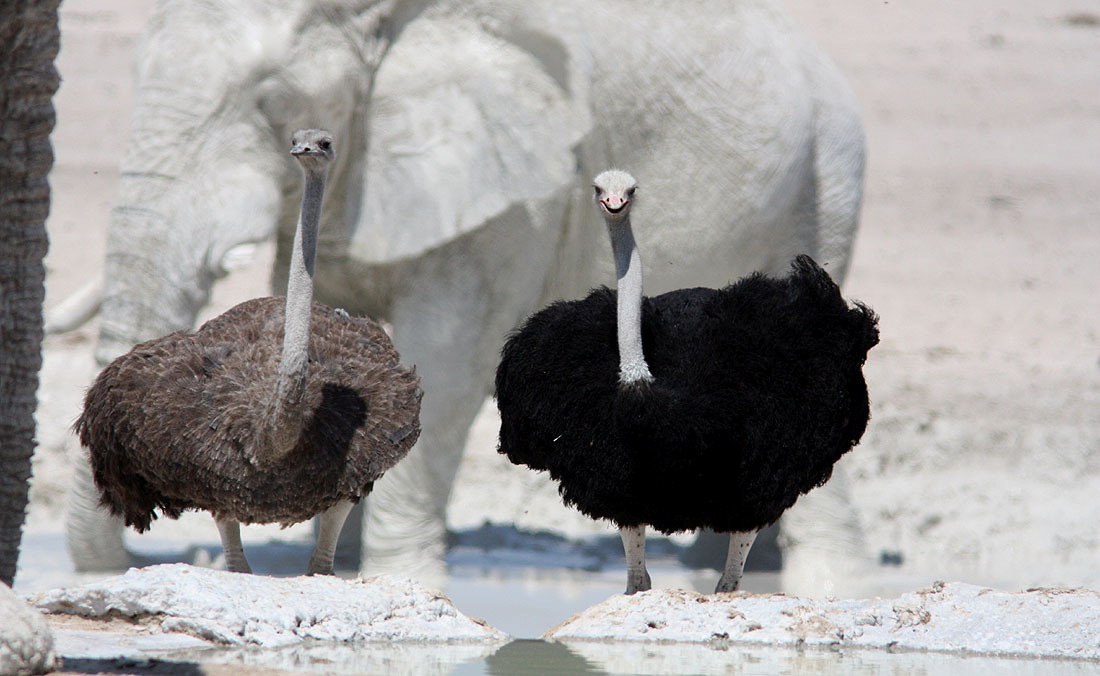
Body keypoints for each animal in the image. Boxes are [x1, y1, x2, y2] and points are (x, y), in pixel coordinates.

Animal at [62, 0, 866, 593]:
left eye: (269, 99)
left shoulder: (516, 190)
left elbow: (450, 358)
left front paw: (401, 579)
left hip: (825, 179)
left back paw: (820, 583)